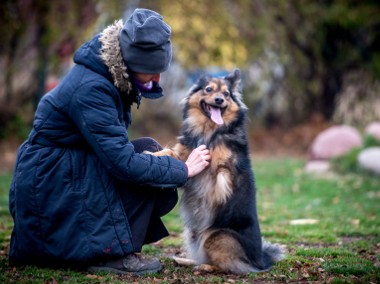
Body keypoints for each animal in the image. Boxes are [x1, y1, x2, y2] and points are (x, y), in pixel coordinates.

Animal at [148, 68, 284, 272]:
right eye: (209, 89)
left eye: (226, 94)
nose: (219, 100)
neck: (208, 130)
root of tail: (260, 260)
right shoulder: (184, 152)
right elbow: (170, 154)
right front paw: (149, 154)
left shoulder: (219, 169)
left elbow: (220, 175)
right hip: (192, 234)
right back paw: (185, 261)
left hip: (216, 237)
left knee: (228, 266)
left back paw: (205, 267)